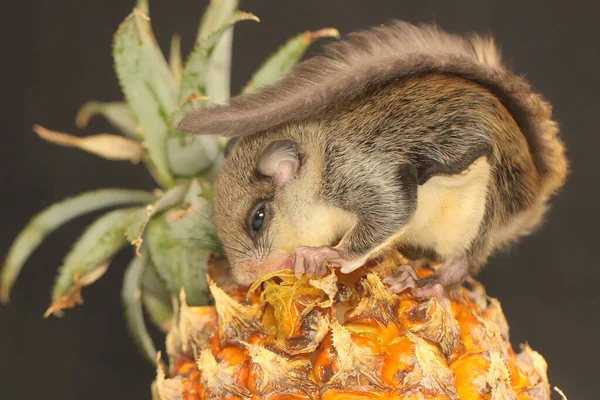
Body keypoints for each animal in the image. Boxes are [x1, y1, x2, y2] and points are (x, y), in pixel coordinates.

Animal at [177, 20, 568, 298]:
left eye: (257, 219)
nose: (245, 278)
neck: (318, 161)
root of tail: (535, 191)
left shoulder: (361, 174)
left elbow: (390, 214)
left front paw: (326, 255)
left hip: (483, 205)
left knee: (463, 262)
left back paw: (427, 284)